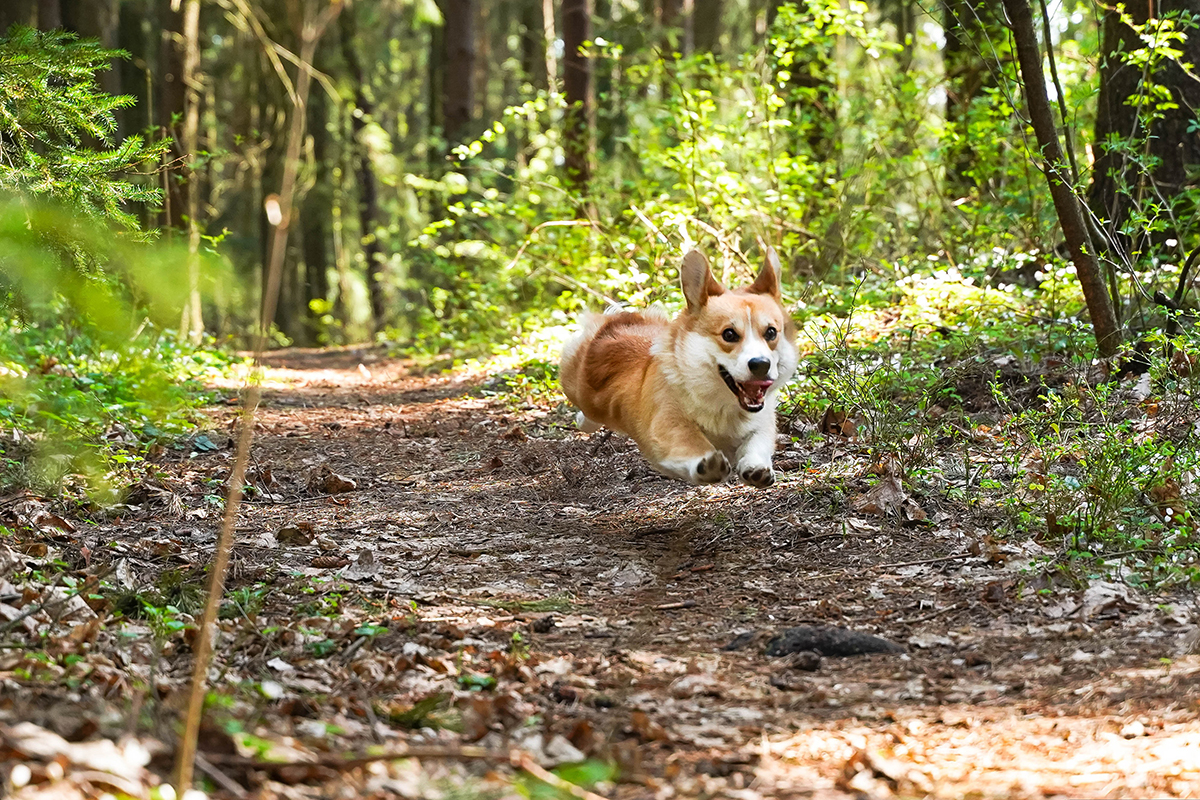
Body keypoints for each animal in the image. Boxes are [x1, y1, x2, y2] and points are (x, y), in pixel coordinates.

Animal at [559, 250, 796, 489]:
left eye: (771, 332)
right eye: (729, 334)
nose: (761, 364)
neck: (723, 405)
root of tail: (618, 322)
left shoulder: (762, 422)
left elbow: (757, 443)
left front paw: (756, 468)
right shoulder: (668, 423)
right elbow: (689, 441)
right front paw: (708, 463)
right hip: (578, 388)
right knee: (586, 413)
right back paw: (582, 420)